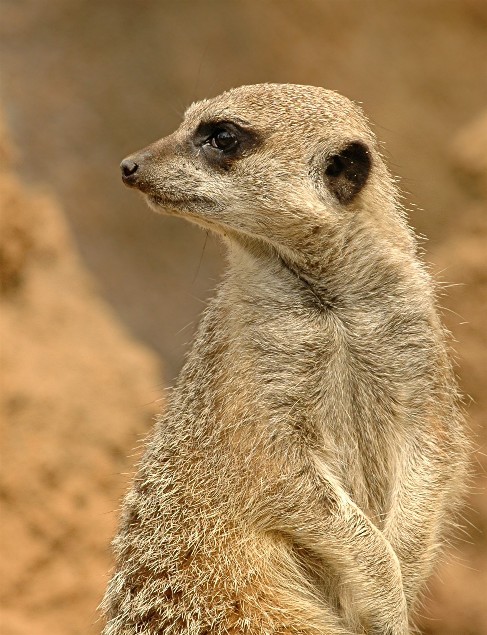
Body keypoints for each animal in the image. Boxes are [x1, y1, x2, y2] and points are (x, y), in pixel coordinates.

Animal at [101, 84, 467, 635]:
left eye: (222, 137)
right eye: (186, 123)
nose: (130, 165)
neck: (330, 306)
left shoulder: (415, 336)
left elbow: (432, 445)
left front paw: (404, 579)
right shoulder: (251, 370)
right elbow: (283, 475)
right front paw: (385, 589)